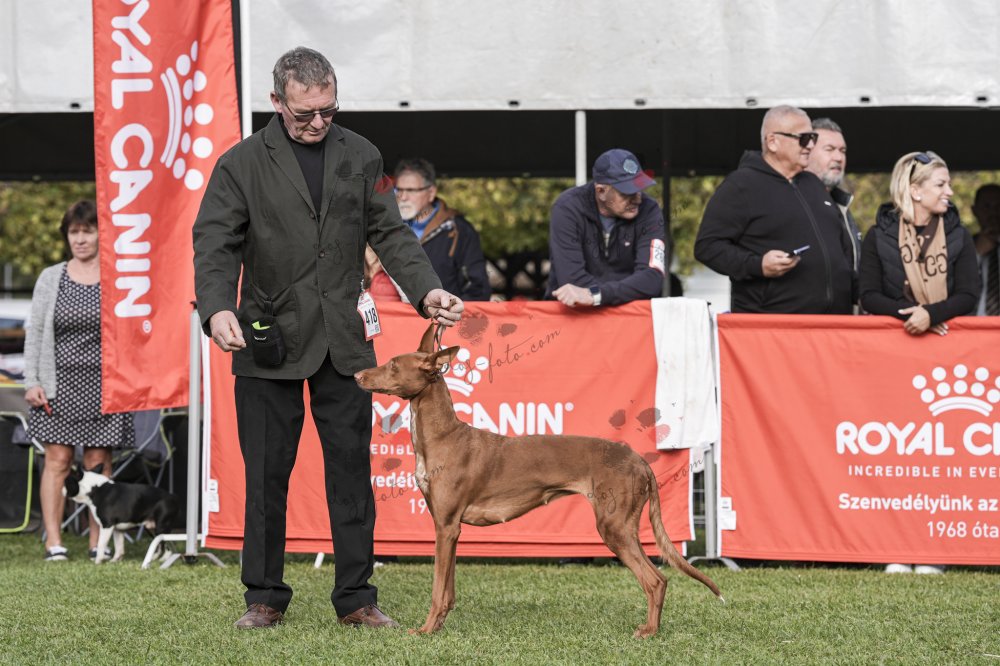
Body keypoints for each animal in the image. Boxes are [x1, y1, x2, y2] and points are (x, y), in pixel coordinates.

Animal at [354, 324, 723, 638]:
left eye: (392, 365)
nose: (357, 375)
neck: (443, 437)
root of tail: (640, 460)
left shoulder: (445, 526)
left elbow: (436, 590)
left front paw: (426, 630)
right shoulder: (452, 529)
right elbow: (449, 591)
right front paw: (440, 625)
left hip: (614, 526)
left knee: (656, 579)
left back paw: (648, 632)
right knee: (658, 578)